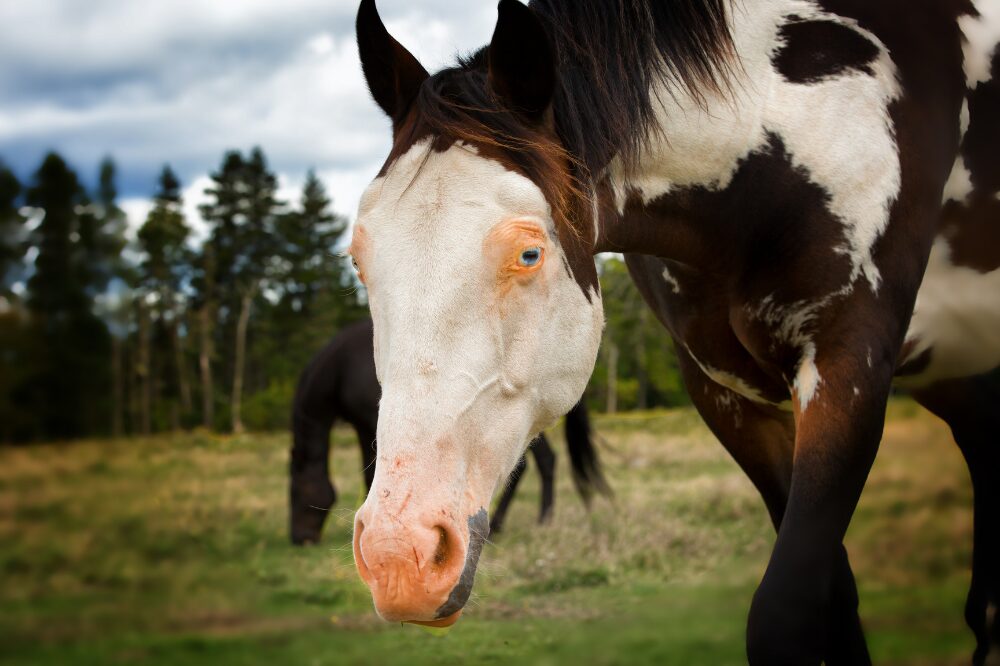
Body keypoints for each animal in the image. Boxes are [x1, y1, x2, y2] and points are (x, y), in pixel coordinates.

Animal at [348, 0, 1000, 662]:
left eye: (529, 254)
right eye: (358, 260)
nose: (398, 556)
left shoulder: (847, 367)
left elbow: (788, 612)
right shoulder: (727, 399)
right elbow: (835, 604)